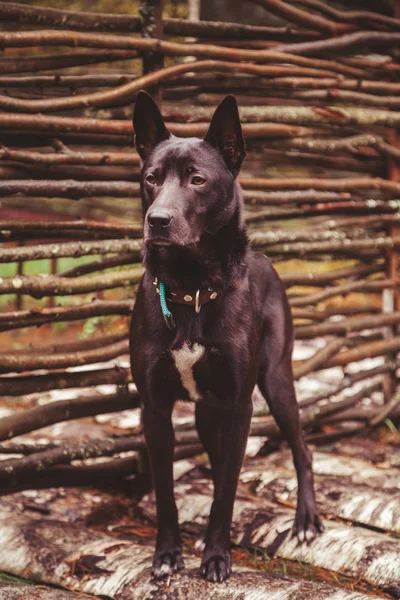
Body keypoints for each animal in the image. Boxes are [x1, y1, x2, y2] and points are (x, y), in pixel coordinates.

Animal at [130, 91, 324, 584]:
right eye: (150, 178)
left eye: (197, 179)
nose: (157, 221)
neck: (191, 289)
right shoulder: (155, 409)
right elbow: (167, 492)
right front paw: (168, 554)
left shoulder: (240, 406)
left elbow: (226, 494)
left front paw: (216, 556)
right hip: (205, 412)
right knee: (220, 465)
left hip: (276, 382)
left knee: (301, 451)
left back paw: (306, 520)